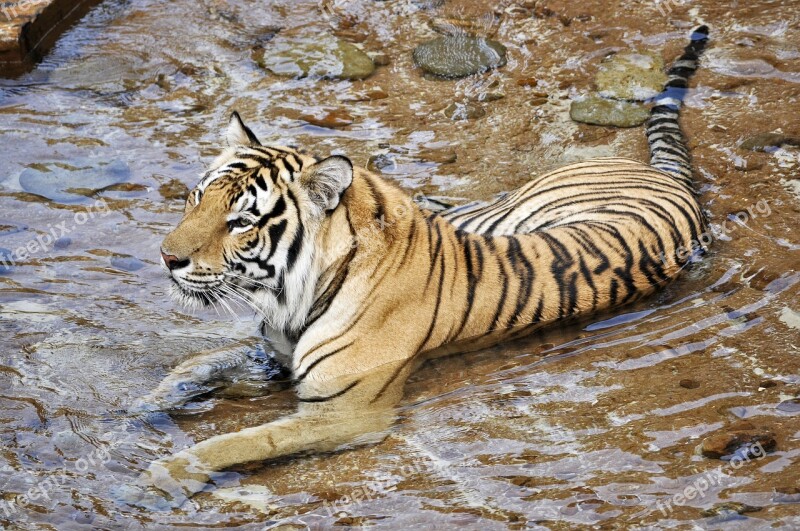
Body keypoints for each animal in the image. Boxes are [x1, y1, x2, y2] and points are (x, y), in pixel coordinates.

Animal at [125, 27, 712, 510]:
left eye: (241, 222)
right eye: (196, 198)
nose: (167, 256)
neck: (292, 293)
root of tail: (670, 180)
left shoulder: (344, 412)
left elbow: (239, 440)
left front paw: (161, 474)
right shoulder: (273, 355)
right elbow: (199, 367)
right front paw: (141, 405)